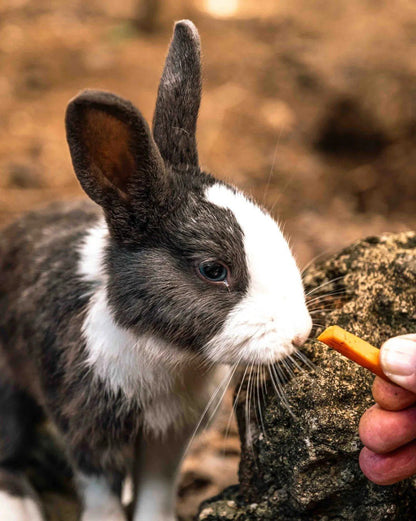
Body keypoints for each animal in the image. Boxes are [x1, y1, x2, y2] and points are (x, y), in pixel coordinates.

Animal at [0, 19, 312, 520]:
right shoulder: (90, 432)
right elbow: (101, 495)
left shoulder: (168, 437)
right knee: (8, 451)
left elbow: (155, 488)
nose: (300, 334)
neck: (166, 352)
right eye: (212, 269)